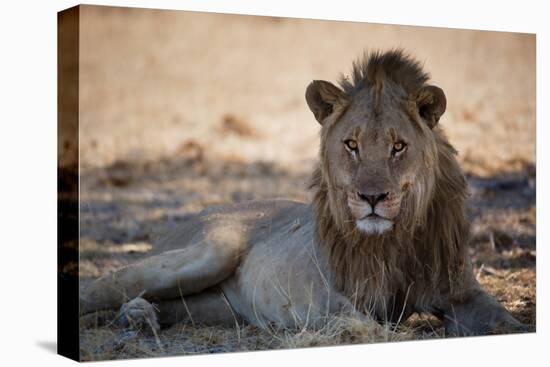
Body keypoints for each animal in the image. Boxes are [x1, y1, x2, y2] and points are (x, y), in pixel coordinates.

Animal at [81, 50, 528, 338]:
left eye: (398, 146)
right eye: (352, 145)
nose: (372, 198)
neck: (394, 239)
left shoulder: (460, 291)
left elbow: (506, 322)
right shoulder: (326, 294)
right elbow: (367, 326)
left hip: (213, 305)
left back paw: (140, 318)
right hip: (205, 253)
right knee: (102, 286)